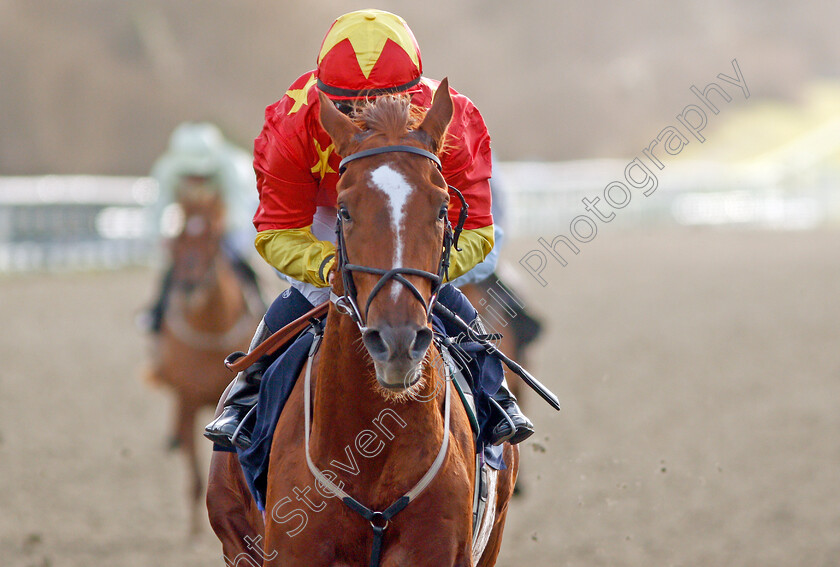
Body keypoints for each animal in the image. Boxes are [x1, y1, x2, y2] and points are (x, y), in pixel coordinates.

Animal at [143, 189, 262, 536]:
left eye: (212, 238)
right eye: (179, 238)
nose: (189, 285)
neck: (213, 327)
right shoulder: (188, 399)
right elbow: (195, 476)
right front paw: (194, 533)